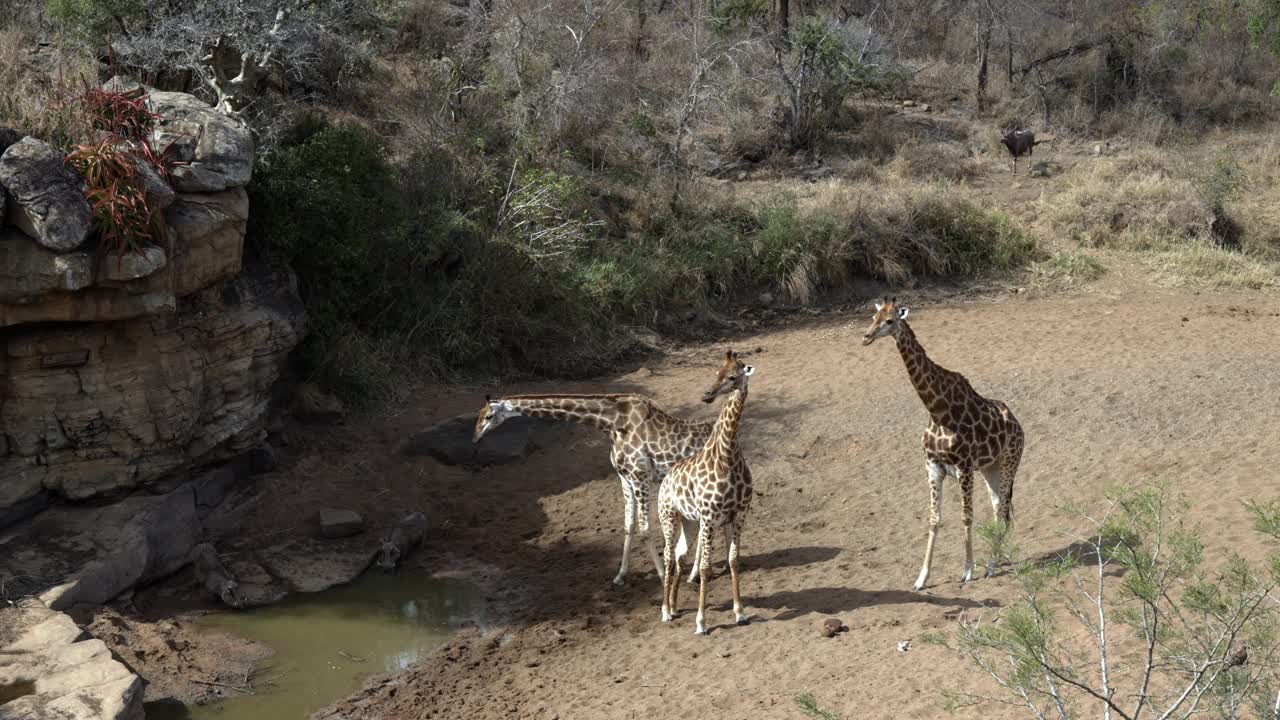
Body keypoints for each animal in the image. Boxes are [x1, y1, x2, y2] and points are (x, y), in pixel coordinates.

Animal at [473, 386, 747, 584]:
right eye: (479, 415)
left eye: (488, 416)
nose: (475, 437)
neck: (611, 423)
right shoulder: (625, 478)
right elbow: (629, 526)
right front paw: (620, 575)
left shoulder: (640, 476)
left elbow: (645, 528)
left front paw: (660, 575)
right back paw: (707, 569)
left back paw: (695, 574)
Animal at [665, 348, 752, 632]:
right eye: (716, 371)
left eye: (733, 376)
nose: (707, 394)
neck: (727, 457)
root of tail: (666, 477)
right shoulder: (710, 517)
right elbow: (705, 568)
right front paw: (701, 622)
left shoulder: (739, 515)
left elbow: (733, 560)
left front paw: (740, 612)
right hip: (670, 517)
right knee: (668, 557)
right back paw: (664, 611)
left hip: (690, 523)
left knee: (679, 555)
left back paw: (674, 607)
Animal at [860, 295, 1029, 589]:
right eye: (873, 318)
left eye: (890, 321)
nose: (866, 336)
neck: (937, 410)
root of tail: (1019, 425)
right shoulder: (933, 465)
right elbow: (934, 519)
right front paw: (921, 578)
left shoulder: (964, 467)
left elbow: (966, 516)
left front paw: (968, 571)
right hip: (990, 467)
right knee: (999, 505)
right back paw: (996, 561)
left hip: (1009, 461)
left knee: (1002, 508)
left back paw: (991, 566)